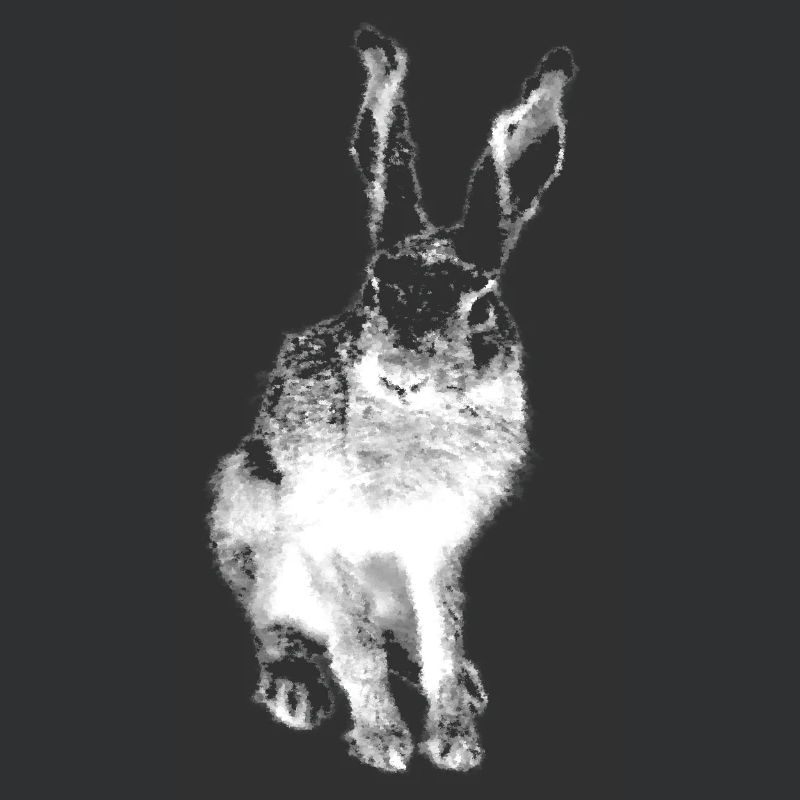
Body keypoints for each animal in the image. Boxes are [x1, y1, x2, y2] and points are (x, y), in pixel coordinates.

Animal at [208, 24, 576, 772]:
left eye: (482, 304)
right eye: (376, 288)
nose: (401, 374)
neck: (417, 424)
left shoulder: (436, 547)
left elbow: (443, 636)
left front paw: (456, 739)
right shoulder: (322, 537)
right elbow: (355, 648)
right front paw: (383, 742)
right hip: (252, 524)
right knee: (276, 625)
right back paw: (295, 687)